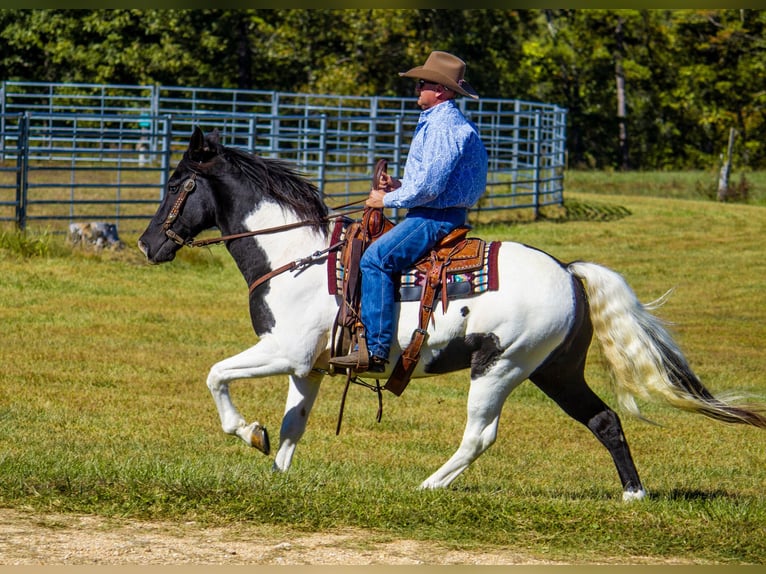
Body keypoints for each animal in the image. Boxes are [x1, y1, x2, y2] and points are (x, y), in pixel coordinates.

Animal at [140, 128, 766, 502]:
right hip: (554, 370)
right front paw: (276, 471)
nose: (148, 245)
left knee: (480, 435)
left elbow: (216, 375)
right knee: (604, 420)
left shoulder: (283, 351)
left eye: (175, 183)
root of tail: (568, 271)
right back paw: (634, 494)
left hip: (499, 366)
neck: (296, 257)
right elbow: (294, 423)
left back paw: (429, 485)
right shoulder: (308, 365)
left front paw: (248, 432)